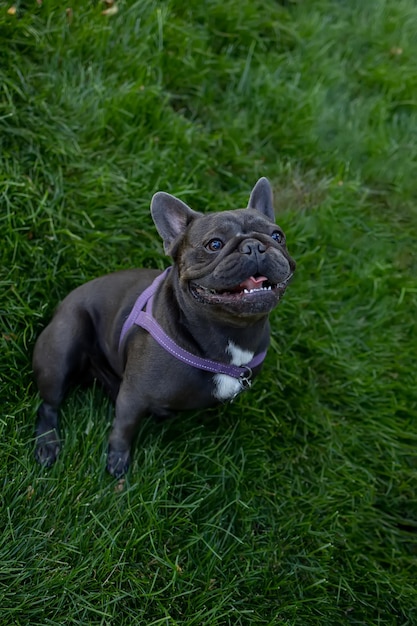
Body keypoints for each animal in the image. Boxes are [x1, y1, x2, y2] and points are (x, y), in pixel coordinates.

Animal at [32, 178, 294, 476]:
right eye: (214, 244)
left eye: (277, 236)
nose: (254, 246)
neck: (230, 330)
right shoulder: (133, 396)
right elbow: (124, 427)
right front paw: (118, 461)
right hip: (62, 346)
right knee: (50, 403)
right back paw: (47, 444)